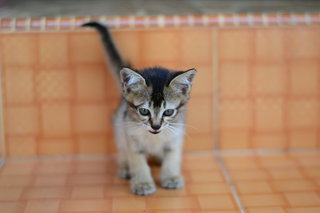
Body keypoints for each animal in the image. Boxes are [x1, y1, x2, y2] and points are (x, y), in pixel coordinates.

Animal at [82, 22, 196, 196]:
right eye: (144, 111)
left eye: (168, 112)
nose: (155, 126)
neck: (154, 138)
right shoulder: (131, 137)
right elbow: (138, 162)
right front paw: (142, 183)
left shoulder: (176, 134)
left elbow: (172, 156)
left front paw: (171, 176)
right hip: (119, 125)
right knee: (122, 150)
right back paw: (125, 167)